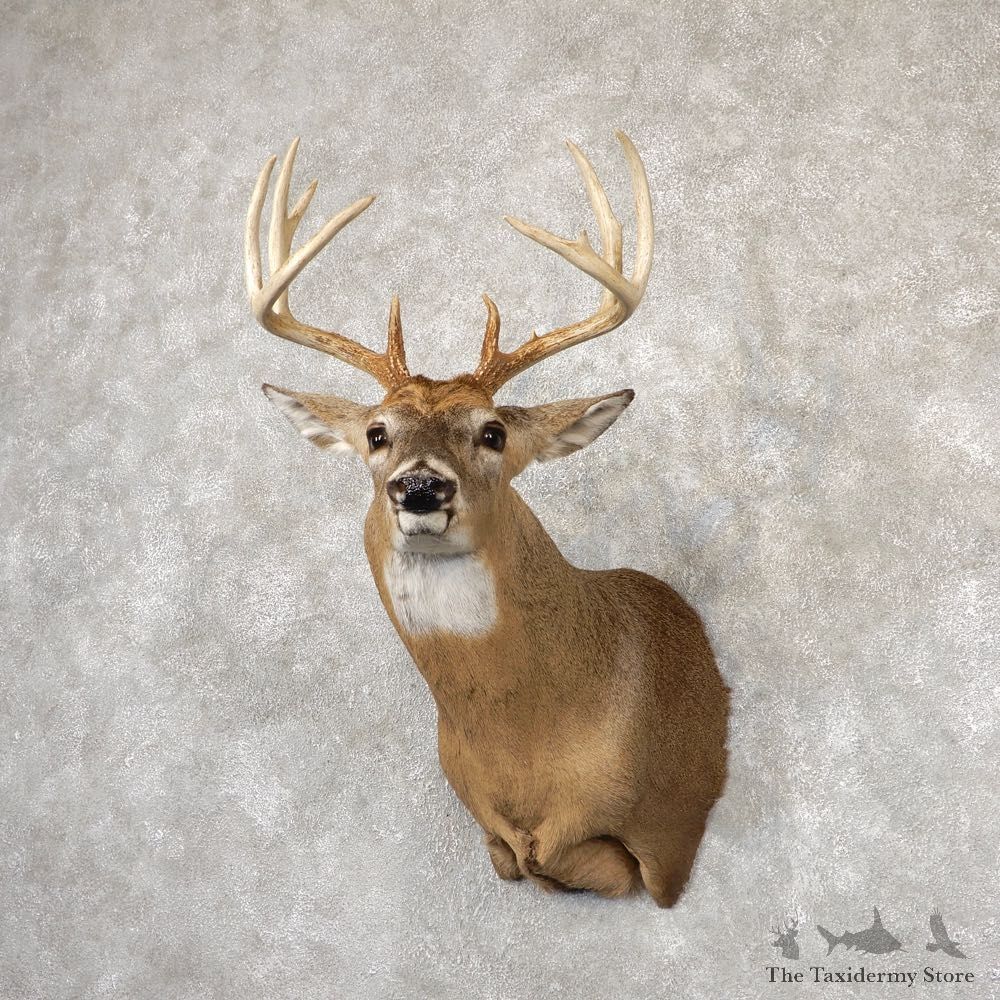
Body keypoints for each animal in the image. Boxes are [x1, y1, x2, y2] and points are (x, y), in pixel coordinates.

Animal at [244, 134, 730, 907]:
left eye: (493, 432)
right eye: (377, 433)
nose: (419, 487)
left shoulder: (666, 825)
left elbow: (605, 867)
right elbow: (515, 859)